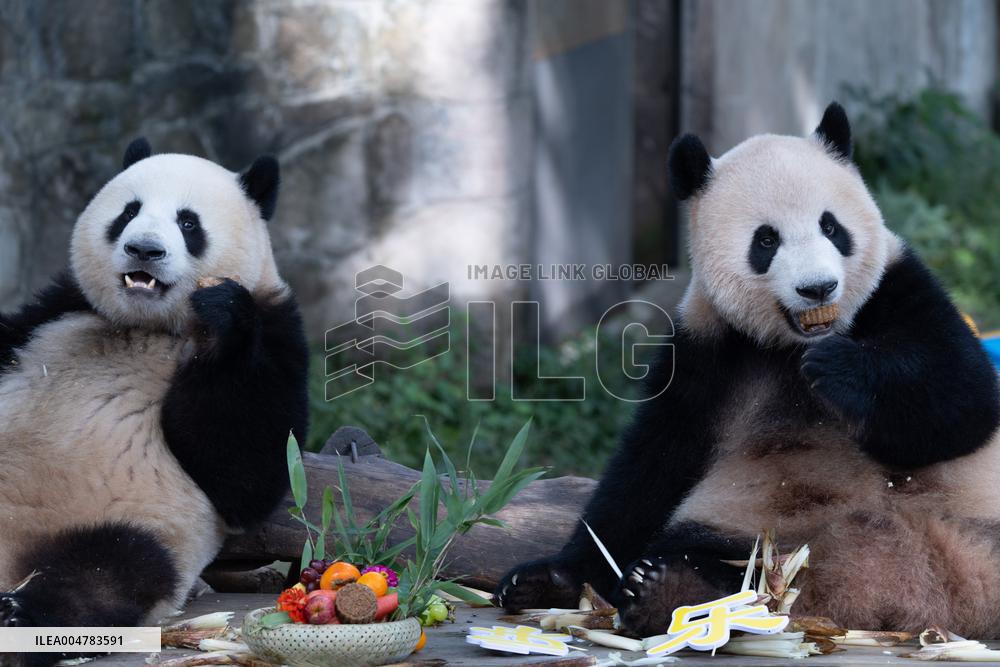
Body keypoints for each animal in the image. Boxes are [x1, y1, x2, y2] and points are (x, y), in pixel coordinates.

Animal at [0, 139, 308, 658]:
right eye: (128, 212)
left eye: (188, 223)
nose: (144, 248)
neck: (149, 325)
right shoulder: (57, 308)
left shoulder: (276, 329)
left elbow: (247, 474)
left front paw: (223, 311)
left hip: (118, 525)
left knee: (109, 571)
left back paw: (19, 615)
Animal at [496, 102, 1000, 637]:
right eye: (766, 240)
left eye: (831, 227)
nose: (818, 288)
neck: (791, 344)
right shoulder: (705, 345)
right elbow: (652, 467)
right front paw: (551, 578)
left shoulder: (899, 286)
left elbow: (962, 400)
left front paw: (839, 370)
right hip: (750, 523)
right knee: (720, 560)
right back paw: (667, 589)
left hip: (980, 533)